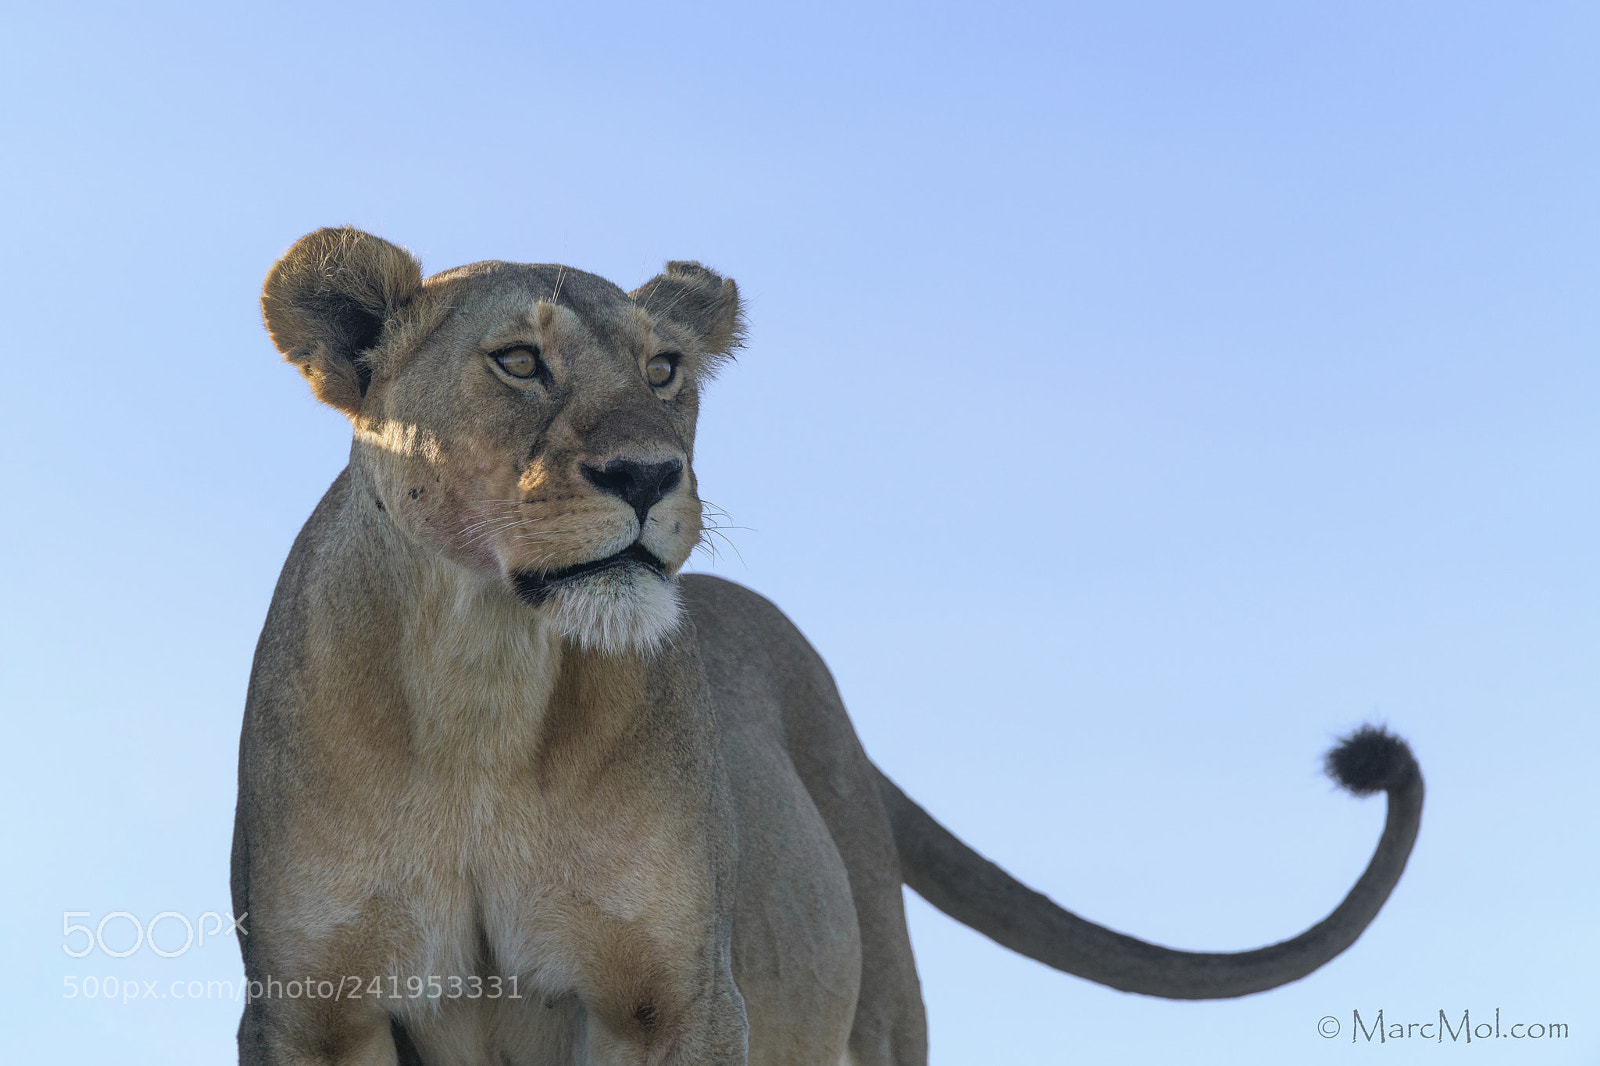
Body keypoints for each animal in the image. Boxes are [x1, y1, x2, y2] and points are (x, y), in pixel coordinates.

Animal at [233, 227, 1424, 1066]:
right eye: (519, 361)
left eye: (664, 371)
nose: (649, 475)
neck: (486, 678)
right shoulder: (308, 1010)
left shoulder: (675, 996)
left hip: (882, 1003)